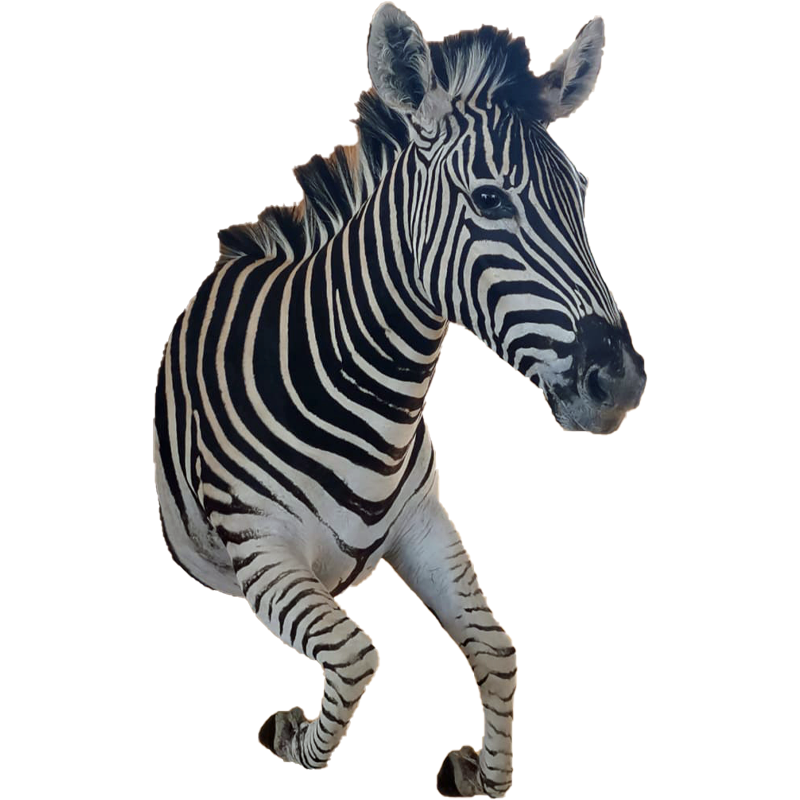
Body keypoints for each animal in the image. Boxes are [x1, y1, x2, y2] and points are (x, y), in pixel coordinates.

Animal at [153, 4, 646, 798]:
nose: (621, 381)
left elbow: (497, 652)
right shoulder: (260, 551)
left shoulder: (421, 525)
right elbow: (355, 657)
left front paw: (482, 773)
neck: (374, 397)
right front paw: (293, 737)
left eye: (581, 193)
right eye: (489, 199)